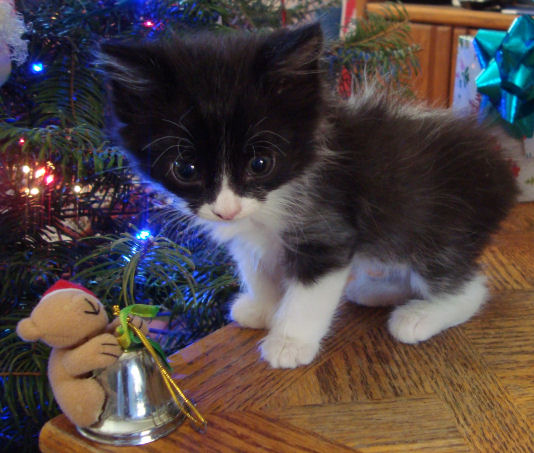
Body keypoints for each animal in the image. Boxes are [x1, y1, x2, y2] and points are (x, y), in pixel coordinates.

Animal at [100, 23, 520, 368]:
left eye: (261, 164)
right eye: (185, 170)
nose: (226, 210)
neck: (274, 197)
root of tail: (502, 176)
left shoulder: (326, 228)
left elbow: (308, 292)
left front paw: (289, 341)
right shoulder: (247, 235)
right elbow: (257, 268)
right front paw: (264, 307)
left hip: (437, 227)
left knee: (468, 287)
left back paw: (422, 314)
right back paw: (377, 290)